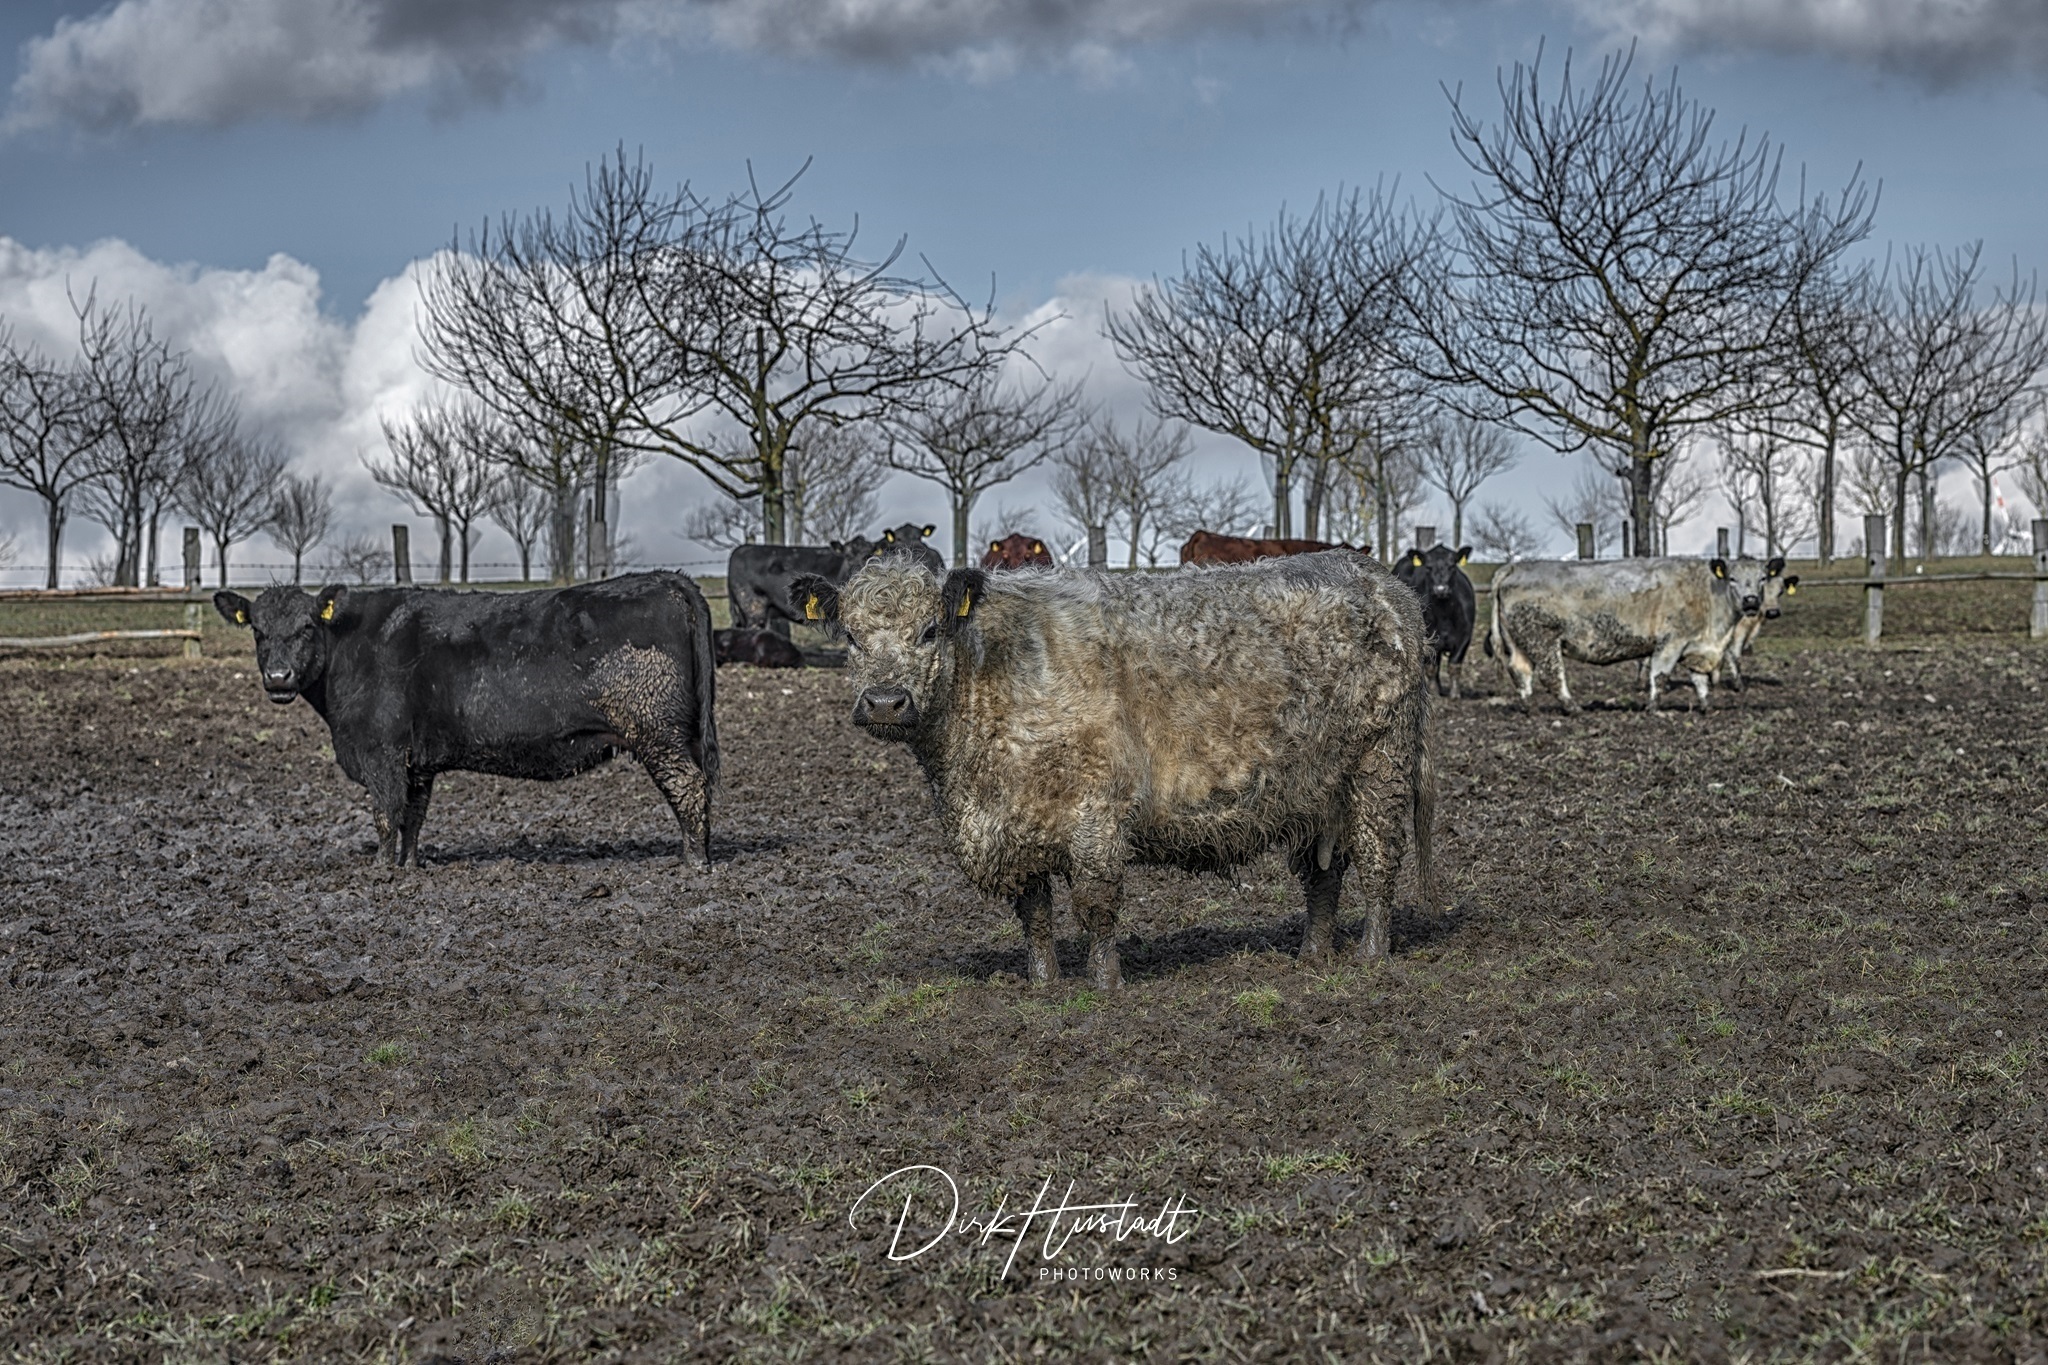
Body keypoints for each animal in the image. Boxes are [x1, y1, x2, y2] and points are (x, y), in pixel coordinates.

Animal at [214, 574, 718, 867]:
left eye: (306, 628)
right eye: (257, 631)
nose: (278, 677)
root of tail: (667, 579)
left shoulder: (381, 751)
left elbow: (385, 815)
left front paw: (380, 873)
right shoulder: (415, 762)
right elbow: (412, 818)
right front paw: (409, 867)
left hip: (656, 730)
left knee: (688, 787)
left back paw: (693, 864)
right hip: (683, 733)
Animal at [795, 552, 1437, 989]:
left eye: (929, 631)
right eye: (850, 636)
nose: (885, 701)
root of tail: (1376, 577)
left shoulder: (1094, 807)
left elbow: (1096, 903)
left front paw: (1105, 983)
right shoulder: (1017, 819)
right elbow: (1034, 912)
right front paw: (1045, 983)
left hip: (1381, 763)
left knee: (1380, 862)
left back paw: (1371, 955)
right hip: (1317, 787)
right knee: (1324, 874)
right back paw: (1313, 955)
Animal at [1394, 544, 1477, 699]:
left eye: (1452, 566)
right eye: (1428, 567)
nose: (1441, 589)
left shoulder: (1465, 636)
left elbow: (1454, 664)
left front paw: (1455, 693)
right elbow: (1431, 667)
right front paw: (1434, 692)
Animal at [1486, 557, 1769, 712]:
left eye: (1763, 578)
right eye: (1732, 578)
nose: (1751, 600)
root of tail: (1516, 567)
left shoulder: (1695, 647)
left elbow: (1699, 681)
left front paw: (1706, 706)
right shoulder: (1671, 641)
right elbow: (1660, 674)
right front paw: (1653, 708)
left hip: (1519, 641)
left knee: (1520, 670)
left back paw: (1528, 707)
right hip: (1542, 639)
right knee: (1552, 675)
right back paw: (1572, 708)